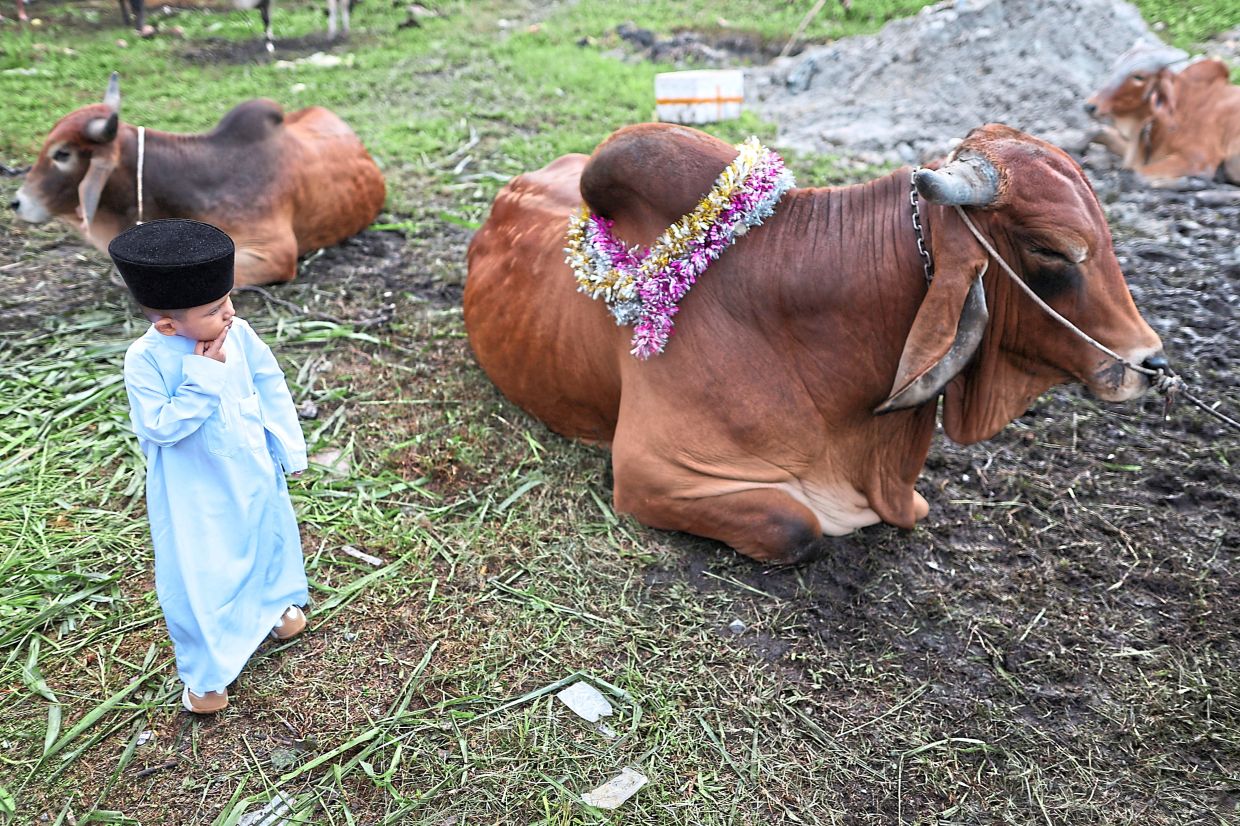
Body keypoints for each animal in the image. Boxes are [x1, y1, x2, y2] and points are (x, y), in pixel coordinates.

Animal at [1086, 42, 1240, 185]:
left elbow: (1139, 174)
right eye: (1114, 69)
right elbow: (1099, 132)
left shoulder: (1199, 159)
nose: (1090, 106)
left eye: (1139, 77)